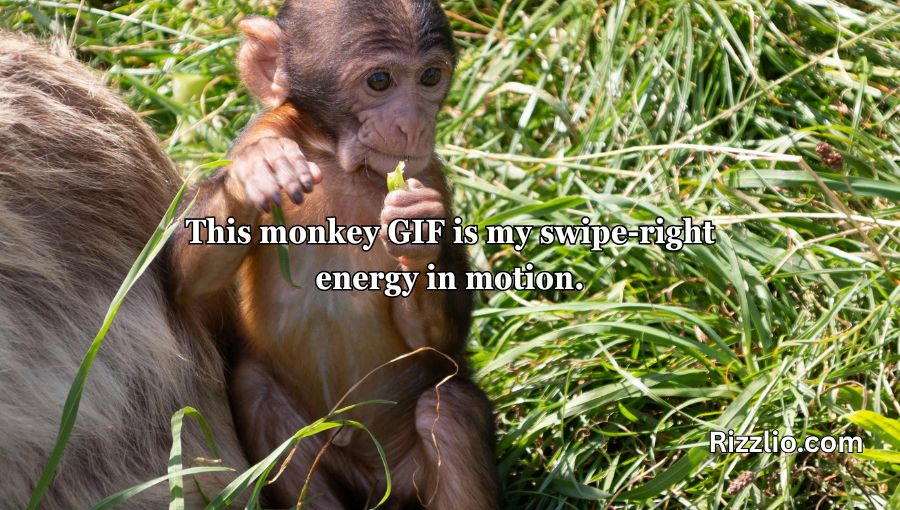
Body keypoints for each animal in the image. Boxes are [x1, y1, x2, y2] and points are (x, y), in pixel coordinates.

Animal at [171, 0, 501, 507]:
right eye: (380, 81)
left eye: (429, 76)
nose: (415, 124)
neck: (338, 162)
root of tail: (377, 483)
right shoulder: (264, 129)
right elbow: (188, 284)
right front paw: (257, 169)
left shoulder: (428, 175)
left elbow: (436, 343)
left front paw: (418, 226)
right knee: (258, 393)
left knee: (450, 411)